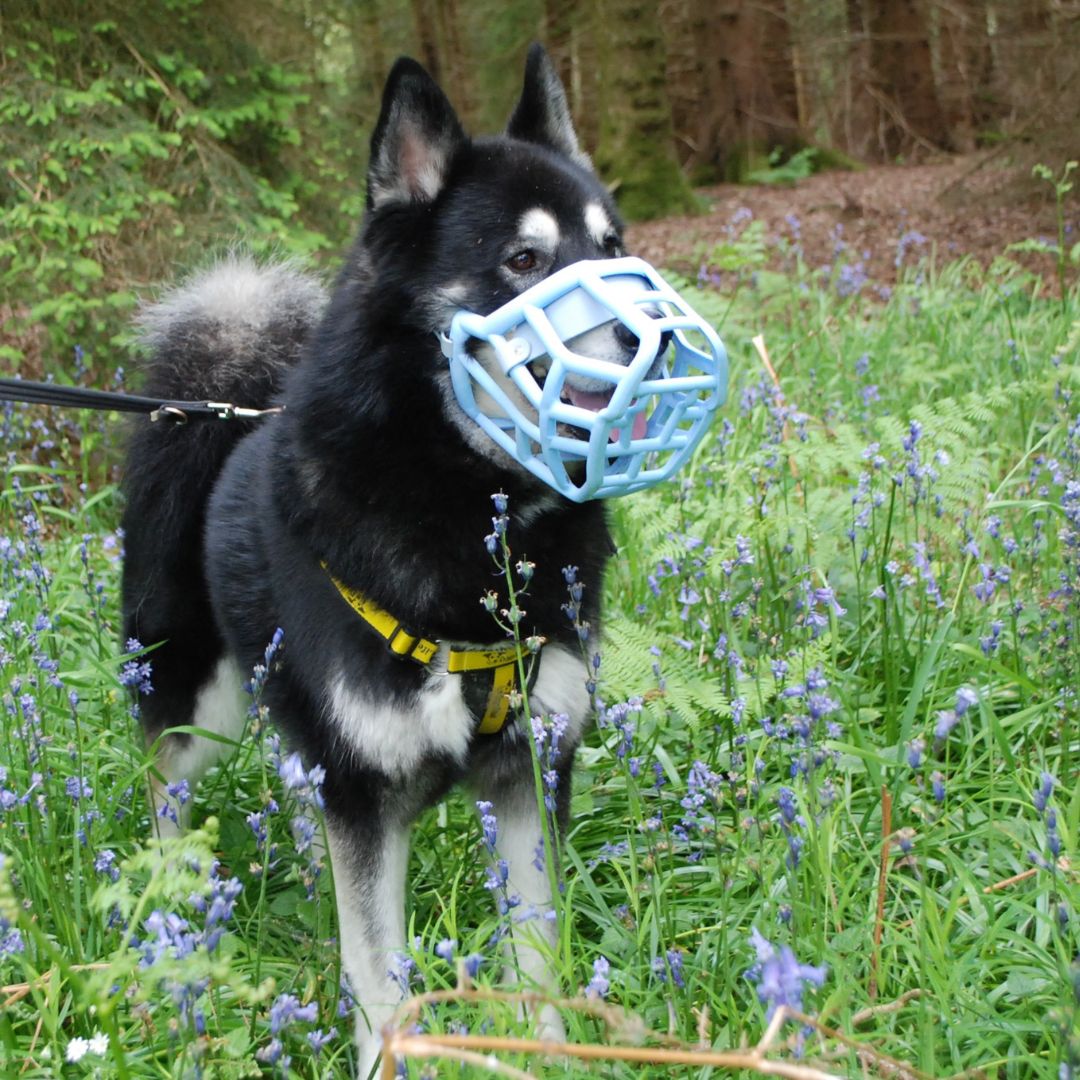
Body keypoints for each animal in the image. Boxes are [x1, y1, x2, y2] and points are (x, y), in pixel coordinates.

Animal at [124, 44, 648, 1080]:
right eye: (523, 259)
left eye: (614, 245)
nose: (653, 340)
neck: (463, 509)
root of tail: (218, 405)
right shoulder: (363, 798)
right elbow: (379, 975)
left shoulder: (528, 775)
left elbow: (538, 954)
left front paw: (550, 1052)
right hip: (198, 704)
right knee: (167, 796)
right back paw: (171, 925)